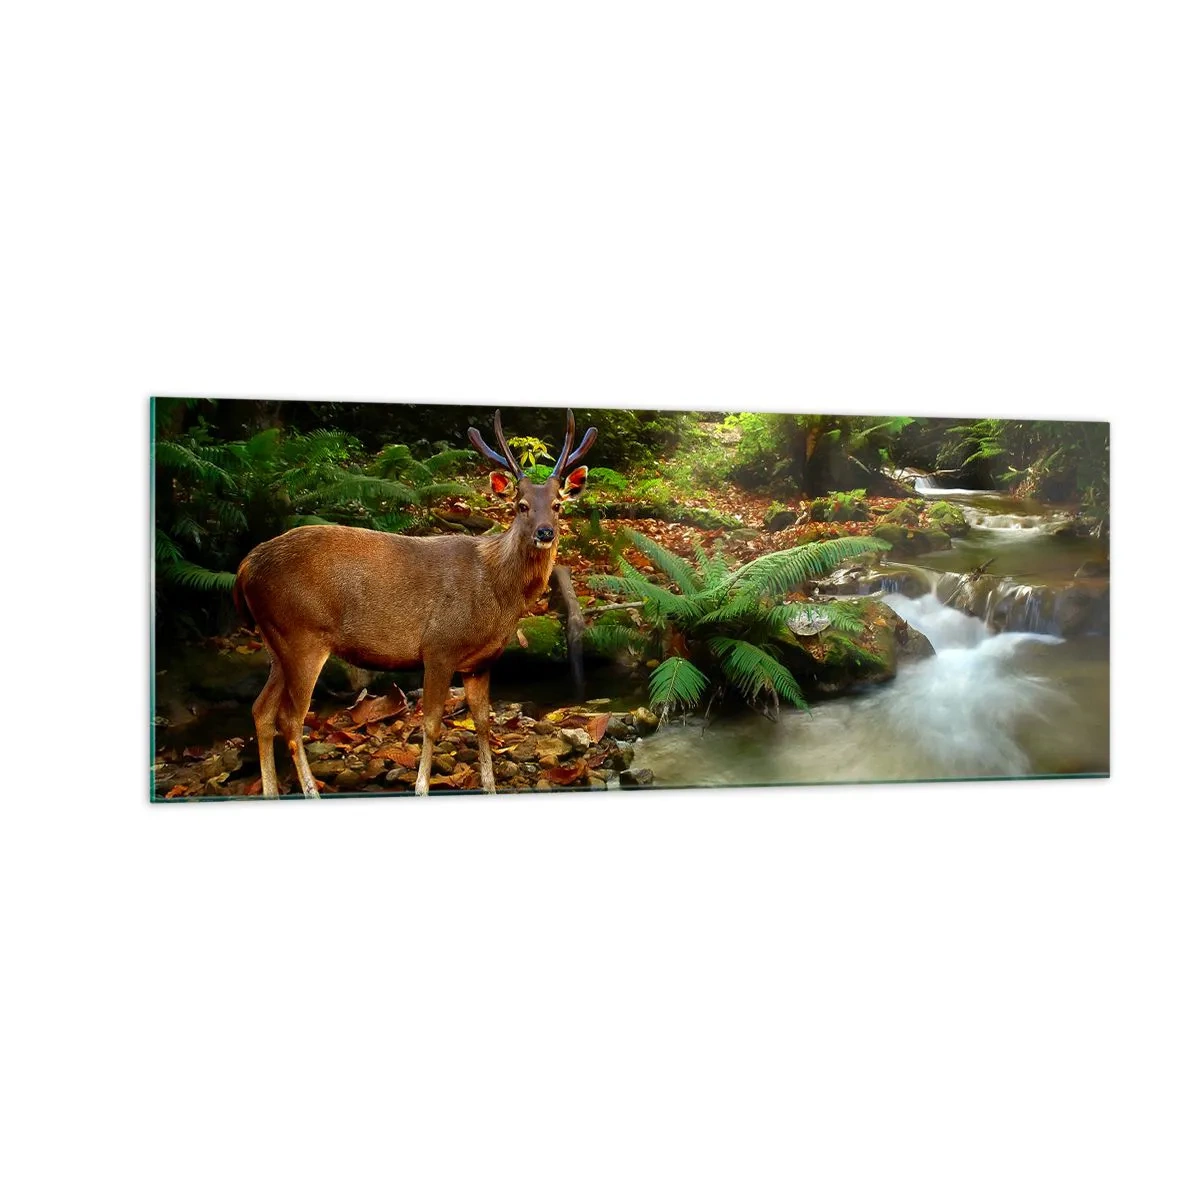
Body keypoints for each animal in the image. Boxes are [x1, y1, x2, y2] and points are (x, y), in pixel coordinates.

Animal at [232, 409, 596, 798]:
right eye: (521, 506)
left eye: (557, 504)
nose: (545, 532)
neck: (498, 594)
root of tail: (245, 567)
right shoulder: (439, 646)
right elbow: (432, 722)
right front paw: (421, 786)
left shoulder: (480, 662)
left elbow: (483, 722)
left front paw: (490, 786)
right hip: (302, 634)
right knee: (291, 718)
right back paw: (310, 791)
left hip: (276, 642)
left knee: (261, 710)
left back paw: (271, 789)